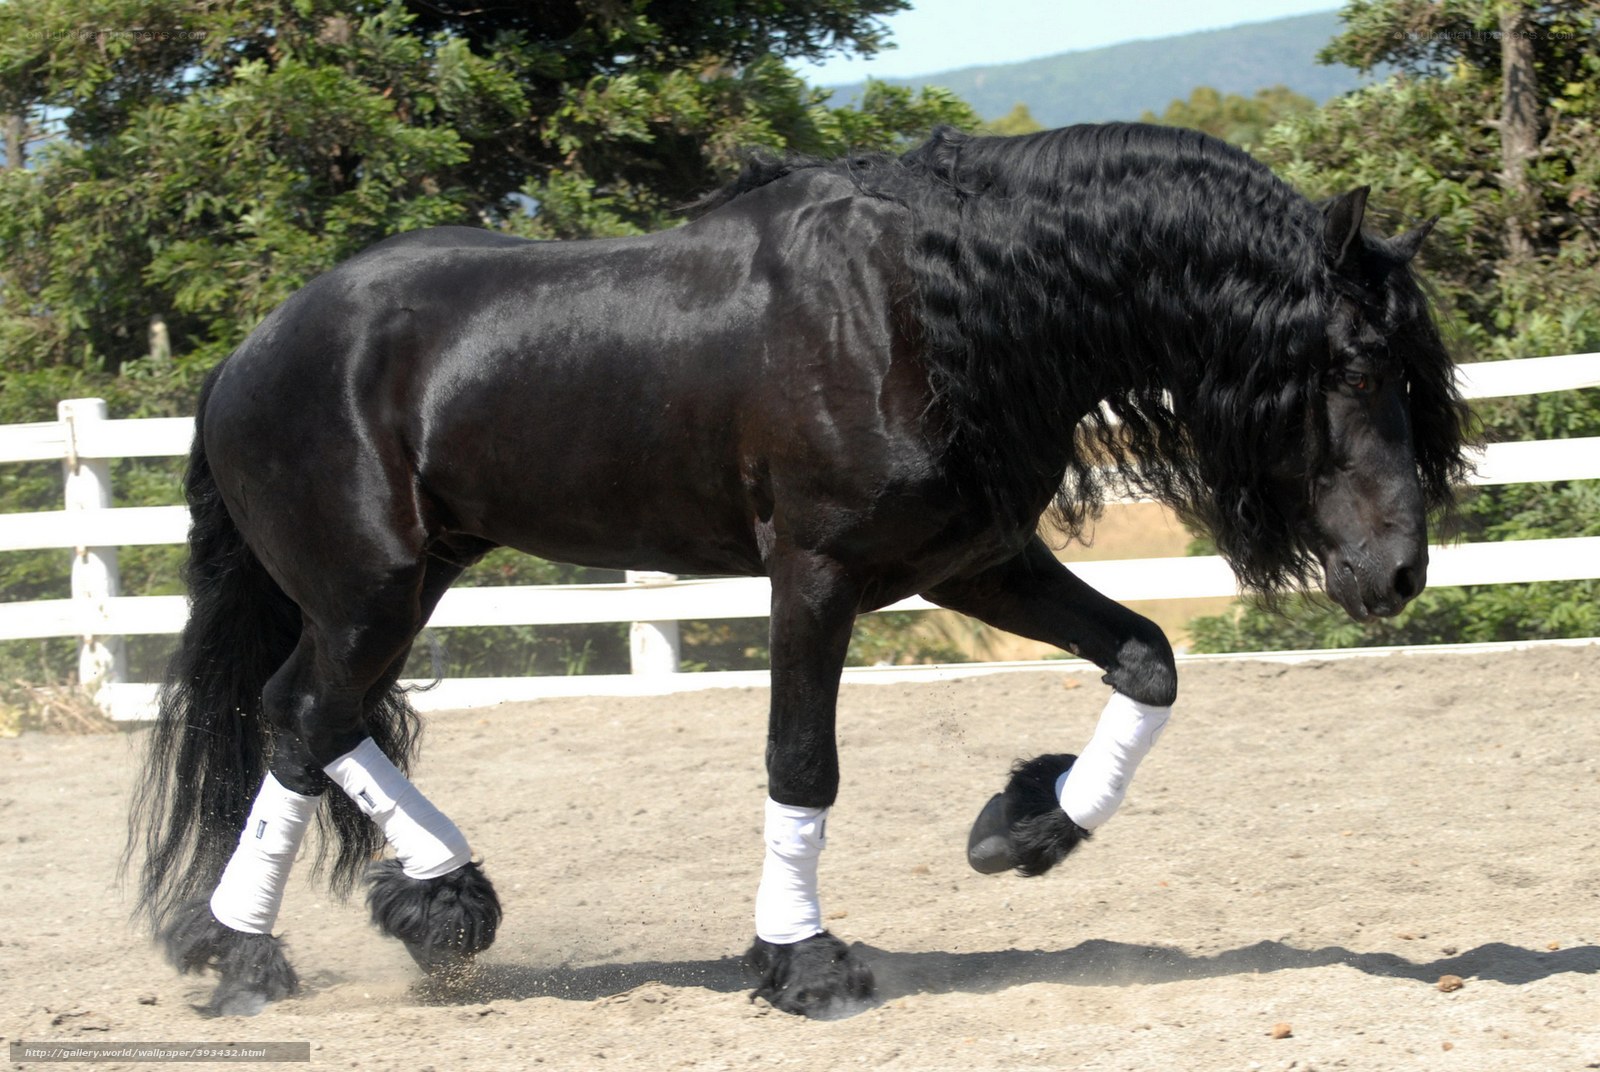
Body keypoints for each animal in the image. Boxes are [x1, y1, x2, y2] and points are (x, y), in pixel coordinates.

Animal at [127, 122, 1469, 1018]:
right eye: (1353, 363)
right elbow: (801, 762)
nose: (1398, 571)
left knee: (309, 719)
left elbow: (1146, 659)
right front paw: (803, 960)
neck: (924, 308)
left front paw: (1025, 827)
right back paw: (256, 956)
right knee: (305, 719)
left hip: (411, 580)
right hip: (370, 586)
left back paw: (421, 906)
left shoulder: (973, 560)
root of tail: (250, 352)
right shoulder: (815, 576)